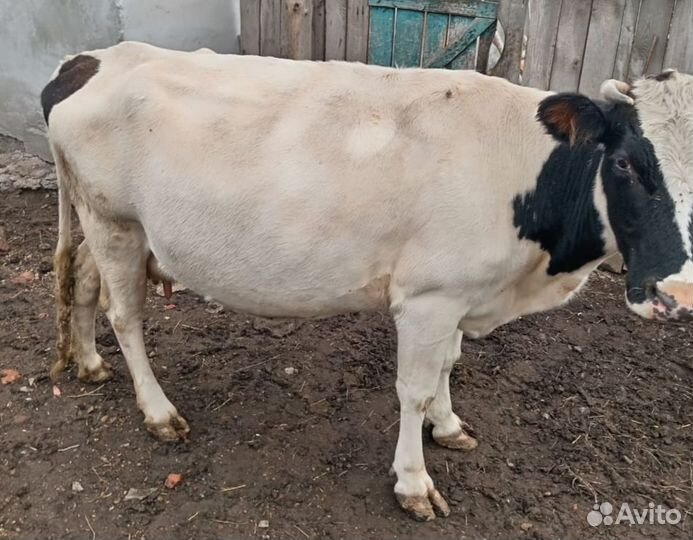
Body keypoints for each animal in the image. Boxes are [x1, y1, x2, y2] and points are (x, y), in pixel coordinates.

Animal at [41, 41, 693, 521]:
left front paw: (448, 426)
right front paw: (413, 482)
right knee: (126, 315)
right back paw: (158, 412)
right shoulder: (429, 297)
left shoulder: (458, 295)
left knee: (83, 281)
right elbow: (415, 389)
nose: (676, 296)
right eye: (626, 162)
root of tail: (91, 58)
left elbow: (449, 366)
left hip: (105, 224)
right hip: (116, 221)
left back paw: (89, 363)